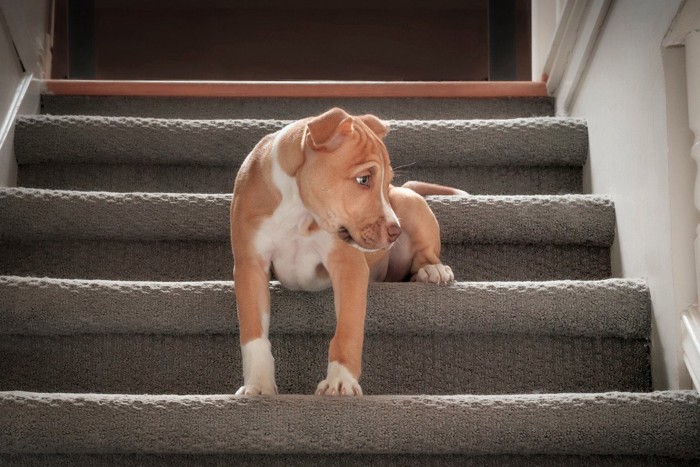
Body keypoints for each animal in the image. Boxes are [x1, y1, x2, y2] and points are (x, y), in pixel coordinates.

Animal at [231, 108, 460, 396]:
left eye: (386, 181)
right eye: (364, 179)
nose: (395, 231)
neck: (298, 211)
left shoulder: (348, 266)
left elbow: (347, 332)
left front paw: (341, 381)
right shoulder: (250, 265)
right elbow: (253, 334)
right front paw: (259, 385)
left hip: (410, 203)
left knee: (425, 253)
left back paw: (433, 270)